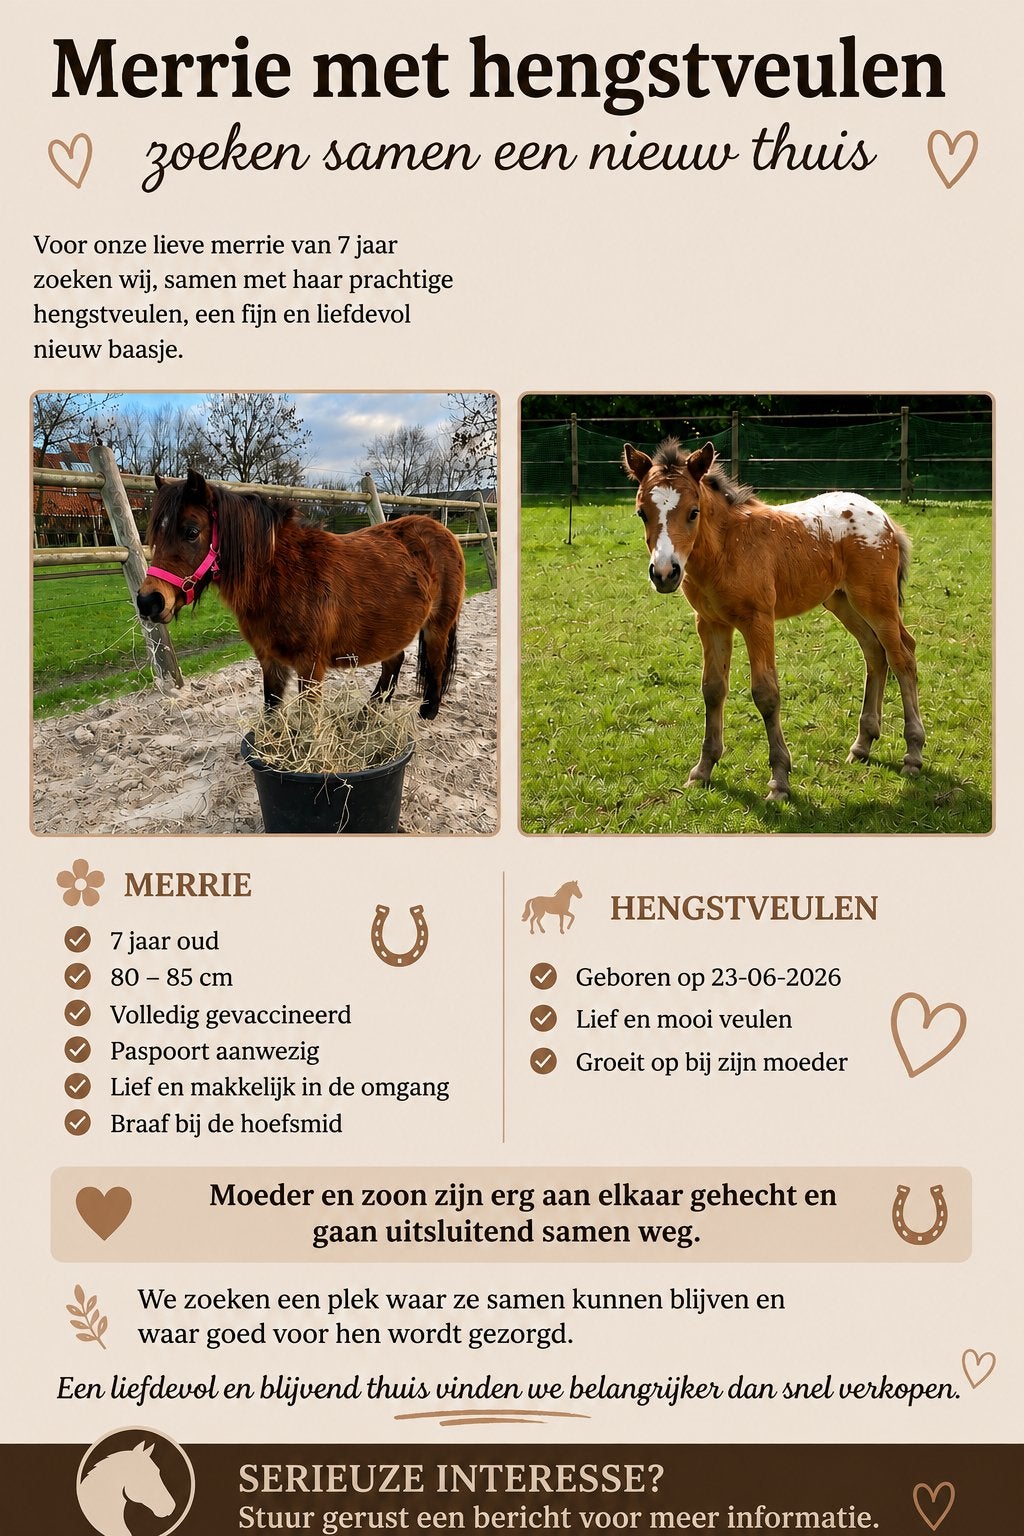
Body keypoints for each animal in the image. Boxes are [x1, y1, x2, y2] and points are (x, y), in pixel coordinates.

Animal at [138, 471, 465, 719]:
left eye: (191, 532)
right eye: (154, 535)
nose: (148, 601)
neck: (281, 576)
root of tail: (440, 529)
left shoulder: (310, 666)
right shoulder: (270, 660)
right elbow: (271, 710)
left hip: (437, 626)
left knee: (435, 664)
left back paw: (428, 711)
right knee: (393, 662)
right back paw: (369, 712)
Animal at [623, 439, 924, 801]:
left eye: (693, 512)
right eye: (642, 513)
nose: (665, 573)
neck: (726, 549)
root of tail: (884, 517)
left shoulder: (758, 621)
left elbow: (766, 693)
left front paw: (779, 780)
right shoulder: (711, 623)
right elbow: (713, 689)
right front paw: (703, 769)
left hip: (877, 602)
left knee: (902, 656)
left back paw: (913, 755)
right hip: (842, 601)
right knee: (874, 653)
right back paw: (862, 744)